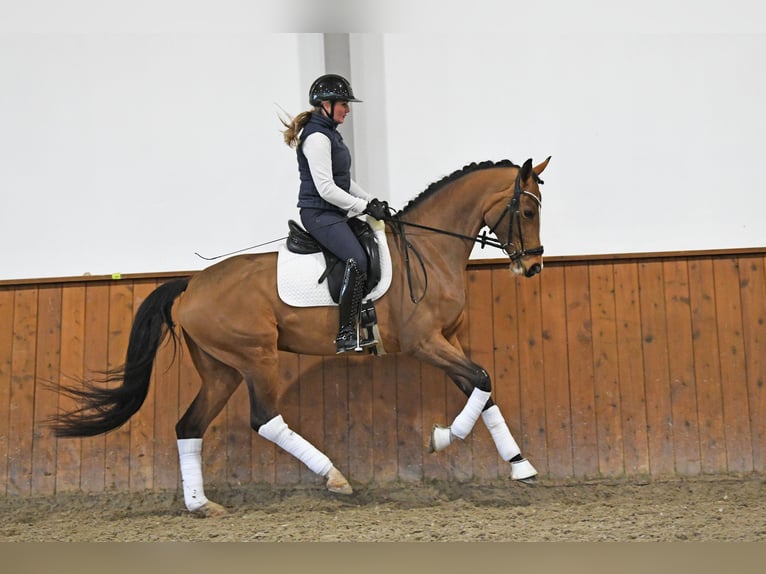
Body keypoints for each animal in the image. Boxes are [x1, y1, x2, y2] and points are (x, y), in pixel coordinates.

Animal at [52, 155, 552, 520]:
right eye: (527, 211)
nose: (532, 266)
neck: (428, 250)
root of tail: (191, 287)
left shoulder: (450, 341)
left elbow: (482, 390)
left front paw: (521, 466)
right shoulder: (424, 343)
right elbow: (482, 381)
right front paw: (441, 438)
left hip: (221, 370)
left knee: (189, 426)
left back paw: (201, 505)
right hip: (256, 358)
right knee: (264, 419)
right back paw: (335, 477)